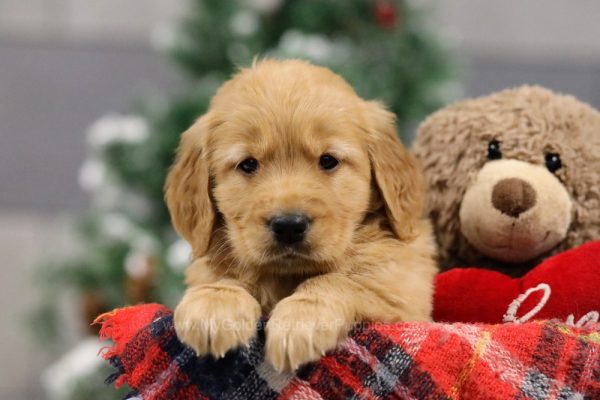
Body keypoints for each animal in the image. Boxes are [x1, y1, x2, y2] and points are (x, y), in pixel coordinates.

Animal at [164, 58, 436, 372]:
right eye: (248, 164)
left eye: (328, 160)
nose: (289, 226)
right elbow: (227, 277)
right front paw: (214, 305)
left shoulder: (401, 293)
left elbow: (343, 279)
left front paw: (300, 320)